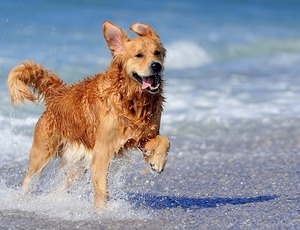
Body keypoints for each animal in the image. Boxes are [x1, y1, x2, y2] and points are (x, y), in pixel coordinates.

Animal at [7, 21, 169, 208]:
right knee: (29, 178)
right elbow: (101, 191)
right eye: (139, 55)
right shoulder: (103, 151)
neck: (131, 99)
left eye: (157, 53)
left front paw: (157, 162)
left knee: (61, 187)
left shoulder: (142, 137)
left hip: (77, 166)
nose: (156, 65)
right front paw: (103, 211)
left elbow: (164, 140)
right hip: (42, 153)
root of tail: (57, 94)